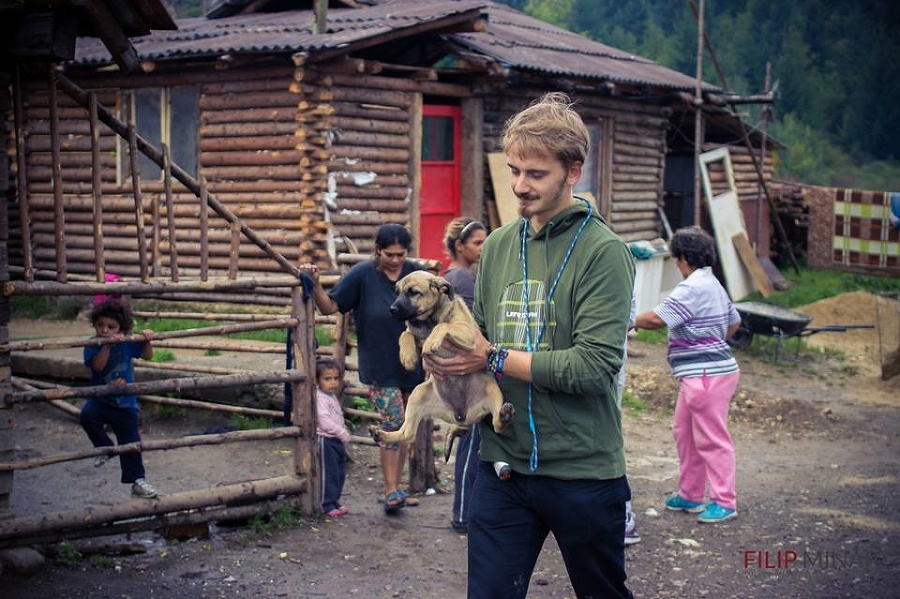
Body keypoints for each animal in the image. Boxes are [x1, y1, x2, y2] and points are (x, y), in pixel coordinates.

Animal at [372, 270, 512, 458]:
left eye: (413, 292)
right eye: (398, 292)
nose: (392, 310)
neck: (428, 320)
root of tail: (461, 417)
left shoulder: (468, 333)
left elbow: (443, 326)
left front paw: (432, 341)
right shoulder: (413, 333)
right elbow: (405, 334)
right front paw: (407, 357)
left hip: (492, 388)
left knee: (497, 425)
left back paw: (504, 416)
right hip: (418, 394)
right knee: (407, 434)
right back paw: (380, 434)